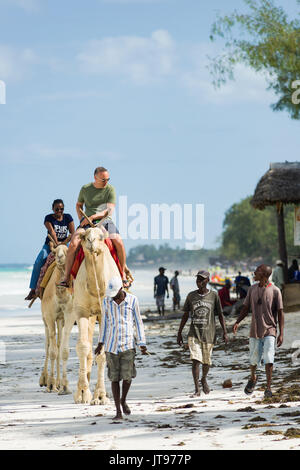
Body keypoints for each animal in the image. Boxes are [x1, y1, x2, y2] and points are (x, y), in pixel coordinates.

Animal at [72, 227, 120, 404]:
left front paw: (100, 396)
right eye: (84, 236)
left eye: (100, 237)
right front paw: (83, 393)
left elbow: (103, 352)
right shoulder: (81, 310)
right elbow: (83, 346)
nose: (91, 241)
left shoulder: (105, 313)